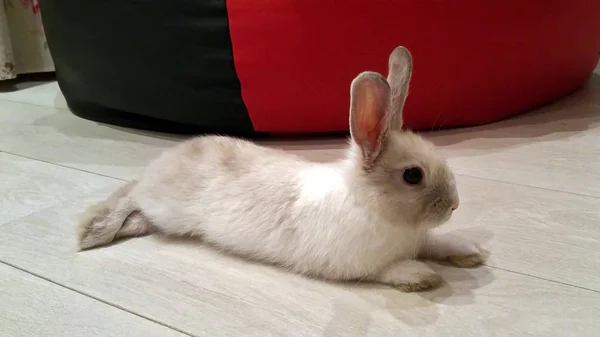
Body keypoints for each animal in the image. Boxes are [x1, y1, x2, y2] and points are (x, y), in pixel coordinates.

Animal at [79, 46, 486, 290]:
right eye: (413, 175)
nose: (454, 205)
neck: (369, 203)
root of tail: (169, 158)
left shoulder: (419, 239)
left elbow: (435, 243)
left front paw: (469, 251)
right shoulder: (355, 262)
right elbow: (386, 270)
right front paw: (421, 276)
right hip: (167, 208)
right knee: (130, 194)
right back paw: (92, 232)